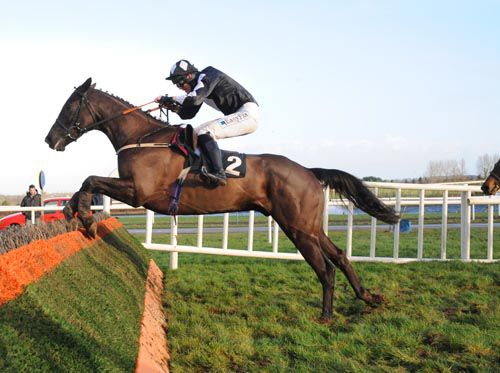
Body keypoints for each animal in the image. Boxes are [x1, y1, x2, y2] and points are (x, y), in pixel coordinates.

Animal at [46, 77, 398, 320]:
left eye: (68, 106)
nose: (50, 139)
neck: (142, 138)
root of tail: (310, 171)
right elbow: (85, 184)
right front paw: (72, 212)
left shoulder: (138, 192)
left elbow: (91, 180)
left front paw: (86, 218)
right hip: (309, 226)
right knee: (339, 255)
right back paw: (368, 297)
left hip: (297, 227)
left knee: (325, 268)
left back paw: (326, 315)